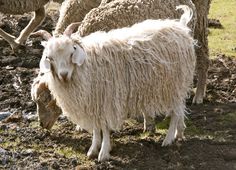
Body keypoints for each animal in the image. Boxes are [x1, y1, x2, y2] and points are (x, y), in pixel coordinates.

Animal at [38, 5, 195, 162]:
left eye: (72, 52)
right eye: (49, 58)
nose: (63, 75)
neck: (86, 64)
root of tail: (181, 27)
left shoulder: (106, 100)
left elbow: (105, 127)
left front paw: (103, 152)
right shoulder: (93, 102)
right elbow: (96, 127)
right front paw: (93, 149)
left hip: (173, 85)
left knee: (175, 112)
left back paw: (168, 139)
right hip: (177, 85)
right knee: (180, 108)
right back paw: (179, 133)